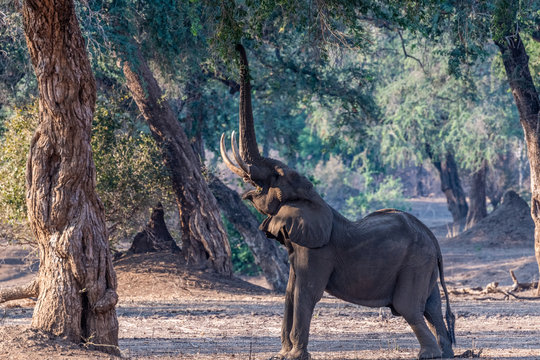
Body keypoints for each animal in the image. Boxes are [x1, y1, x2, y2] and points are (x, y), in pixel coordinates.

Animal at [220, 44, 456, 360]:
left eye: (277, 176)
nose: (238, 45)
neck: (315, 200)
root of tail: (435, 242)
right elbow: (290, 292)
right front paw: (282, 355)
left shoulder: (318, 249)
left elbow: (305, 292)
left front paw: (294, 356)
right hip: (425, 264)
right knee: (432, 307)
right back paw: (447, 353)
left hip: (416, 262)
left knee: (409, 308)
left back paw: (429, 355)